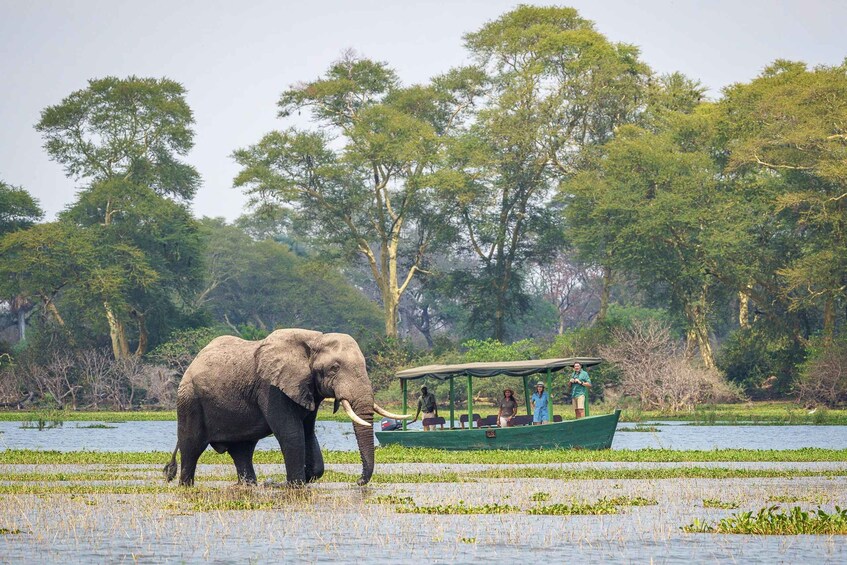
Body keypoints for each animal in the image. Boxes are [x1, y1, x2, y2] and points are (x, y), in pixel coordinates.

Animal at [163, 328, 407, 486]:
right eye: (334, 368)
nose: (358, 482)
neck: (314, 340)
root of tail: (193, 362)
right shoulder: (272, 388)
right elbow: (291, 433)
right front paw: (294, 484)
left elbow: (308, 432)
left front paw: (302, 478)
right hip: (189, 400)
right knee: (192, 447)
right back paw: (186, 485)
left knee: (242, 451)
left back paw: (249, 485)